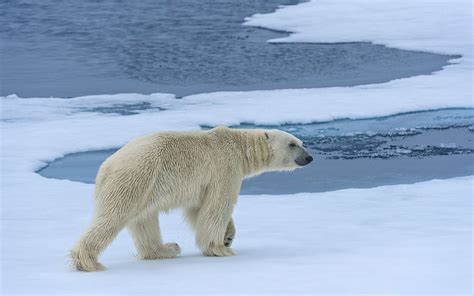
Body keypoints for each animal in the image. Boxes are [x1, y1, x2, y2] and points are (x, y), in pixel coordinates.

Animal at [70, 126, 312, 272]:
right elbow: (217, 207)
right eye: (292, 144)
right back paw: (88, 261)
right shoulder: (225, 169)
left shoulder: (201, 185)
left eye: (302, 142)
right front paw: (221, 248)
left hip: (145, 187)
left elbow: (198, 208)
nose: (309, 157)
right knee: (114, 216)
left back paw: (166, 248)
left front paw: (228, 237)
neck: (238, 146)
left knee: (145, 220)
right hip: (136, 177)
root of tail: (105, 167)